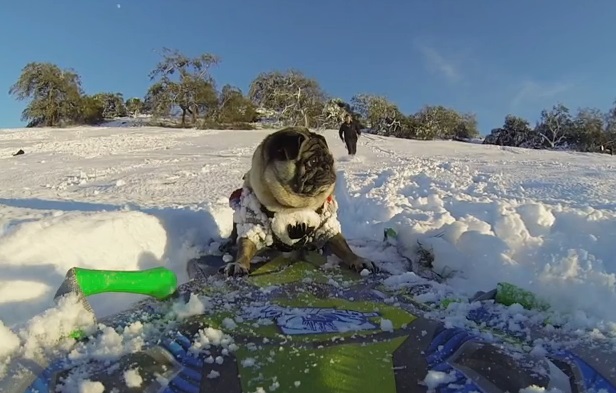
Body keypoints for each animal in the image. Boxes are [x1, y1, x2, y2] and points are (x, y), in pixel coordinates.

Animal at [219, 125, 378, 276]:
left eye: (331, 160)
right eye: (312, 162)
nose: (327, 167)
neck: (295, 206)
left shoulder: (326, 223)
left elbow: (344, 247)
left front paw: (358, 260)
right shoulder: (254, 221)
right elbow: (245, 246)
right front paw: (239, 264)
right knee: (235, 234)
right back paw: (227, 244)